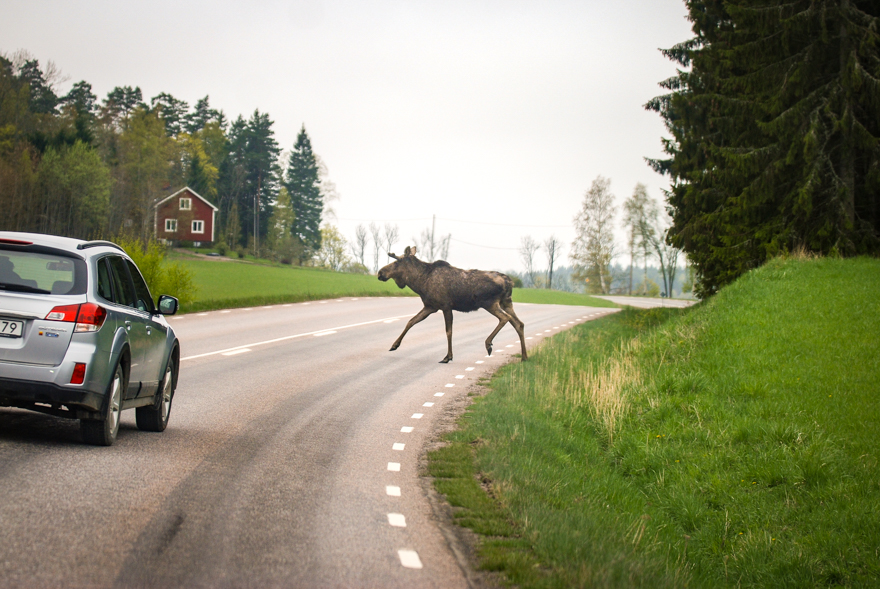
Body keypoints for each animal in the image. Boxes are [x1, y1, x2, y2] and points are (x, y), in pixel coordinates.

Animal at [376, 245, 524, 362]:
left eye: (397, 262)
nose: (380, 272)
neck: (420, 283)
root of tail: (509, 282)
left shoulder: (445, 306)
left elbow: (448, 331)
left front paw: (448, 356)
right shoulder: (430, 306)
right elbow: (411, 321)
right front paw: (394, 345)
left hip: (490, 303)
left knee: (505, 318)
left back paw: (488, 344)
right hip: (506, 302)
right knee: (519, 324)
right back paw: (524, 357)